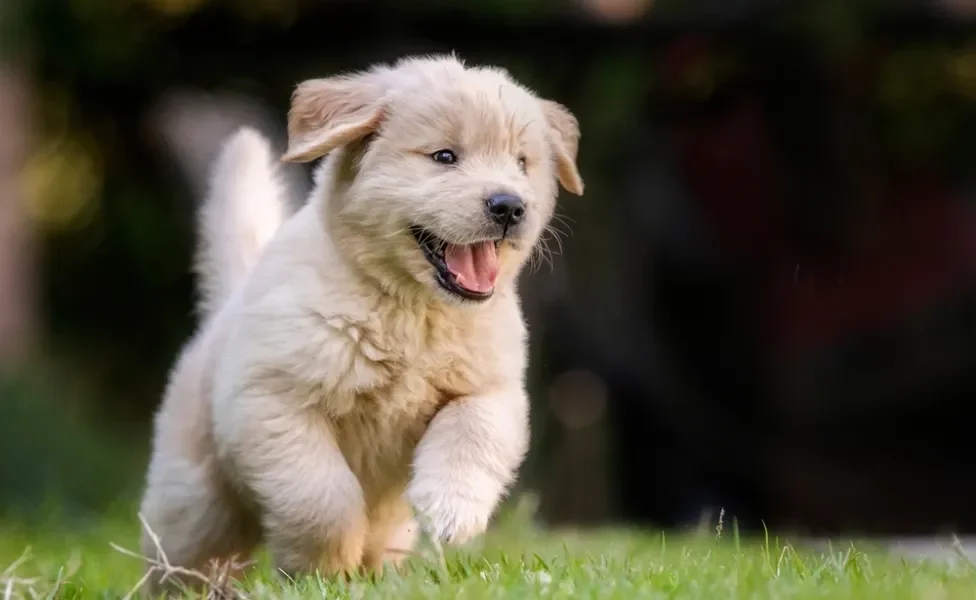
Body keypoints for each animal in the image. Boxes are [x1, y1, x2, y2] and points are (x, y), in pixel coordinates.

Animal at [135, 54, 580, 588]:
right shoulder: (273, 402)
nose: (510, 206)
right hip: (195, 504)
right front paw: (321, 568)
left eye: (521, 163)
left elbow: (473, 434)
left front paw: (449, 511)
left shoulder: (492, 390)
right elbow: (320, 495)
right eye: (445, 156)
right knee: (186, 551)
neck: (410, 307)